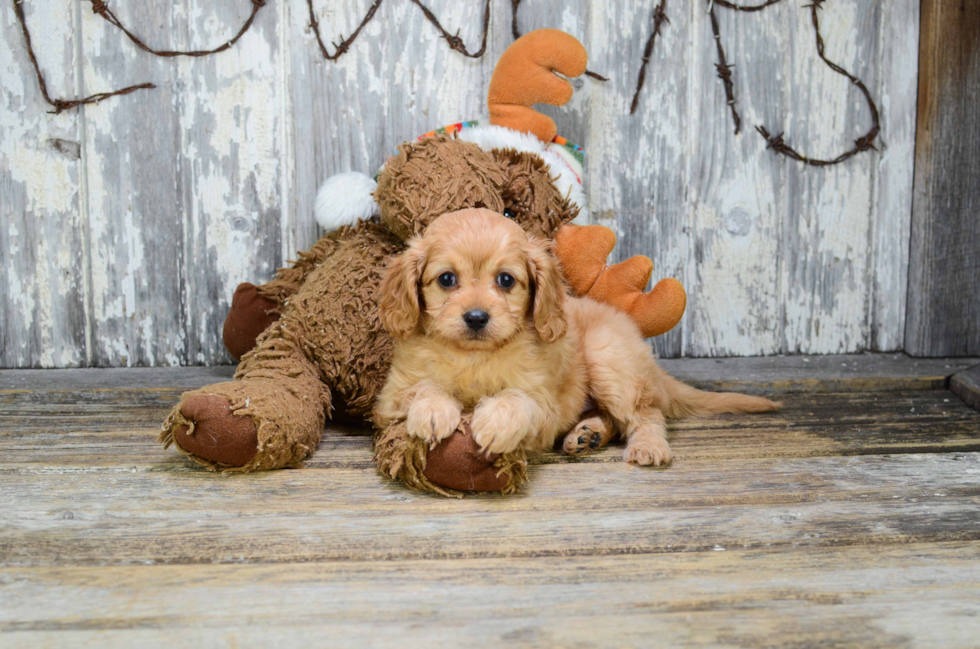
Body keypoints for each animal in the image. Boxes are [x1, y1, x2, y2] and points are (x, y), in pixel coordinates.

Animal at [376, 209, 780, 466]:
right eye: (446, 279)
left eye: (506, 280)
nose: (476, 318)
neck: (475, 355)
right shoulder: (388, 399)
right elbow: (423, 387)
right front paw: (433, 411)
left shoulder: (543, 404)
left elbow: (517, 399)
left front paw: (495, 422)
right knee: (613, 418)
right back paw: (588, 434)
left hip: (609, 360)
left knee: (645, 414)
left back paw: (647, 447)